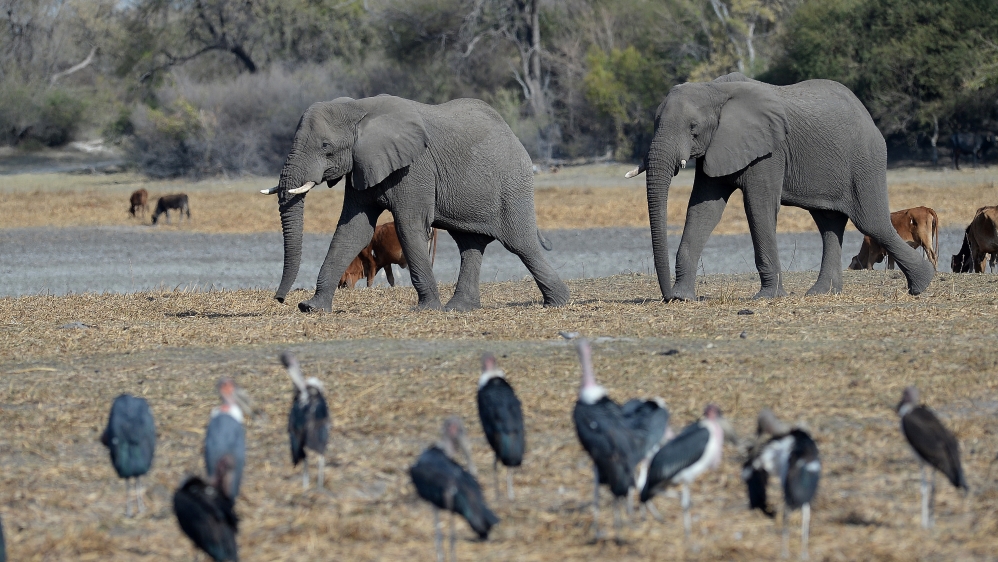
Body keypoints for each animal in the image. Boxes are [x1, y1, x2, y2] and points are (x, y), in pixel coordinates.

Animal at [262, 94, 570, 312]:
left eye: (326, 147)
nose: (280, 299)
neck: (358, 108)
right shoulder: (361, 166)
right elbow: (353, 230)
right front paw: (312, 308)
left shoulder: (415, 169)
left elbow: (409, 226)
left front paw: (426, 309)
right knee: (470, 245)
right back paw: (459, 309)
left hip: (513, 186)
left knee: (522, 244)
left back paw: (558, 302)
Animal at [626, 72, 934, 300]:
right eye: (654, 123)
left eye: (693, 128)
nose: (665, 295)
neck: (715, 89)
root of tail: (868, 116)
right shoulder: (717, 147)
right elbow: (704, 209)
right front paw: (682, 297)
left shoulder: (770, 151)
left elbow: (758, 206)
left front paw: (767, 298)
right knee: (829, 223)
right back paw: (821, 293)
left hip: (865, 161)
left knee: (872, 222)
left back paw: (922, 284)